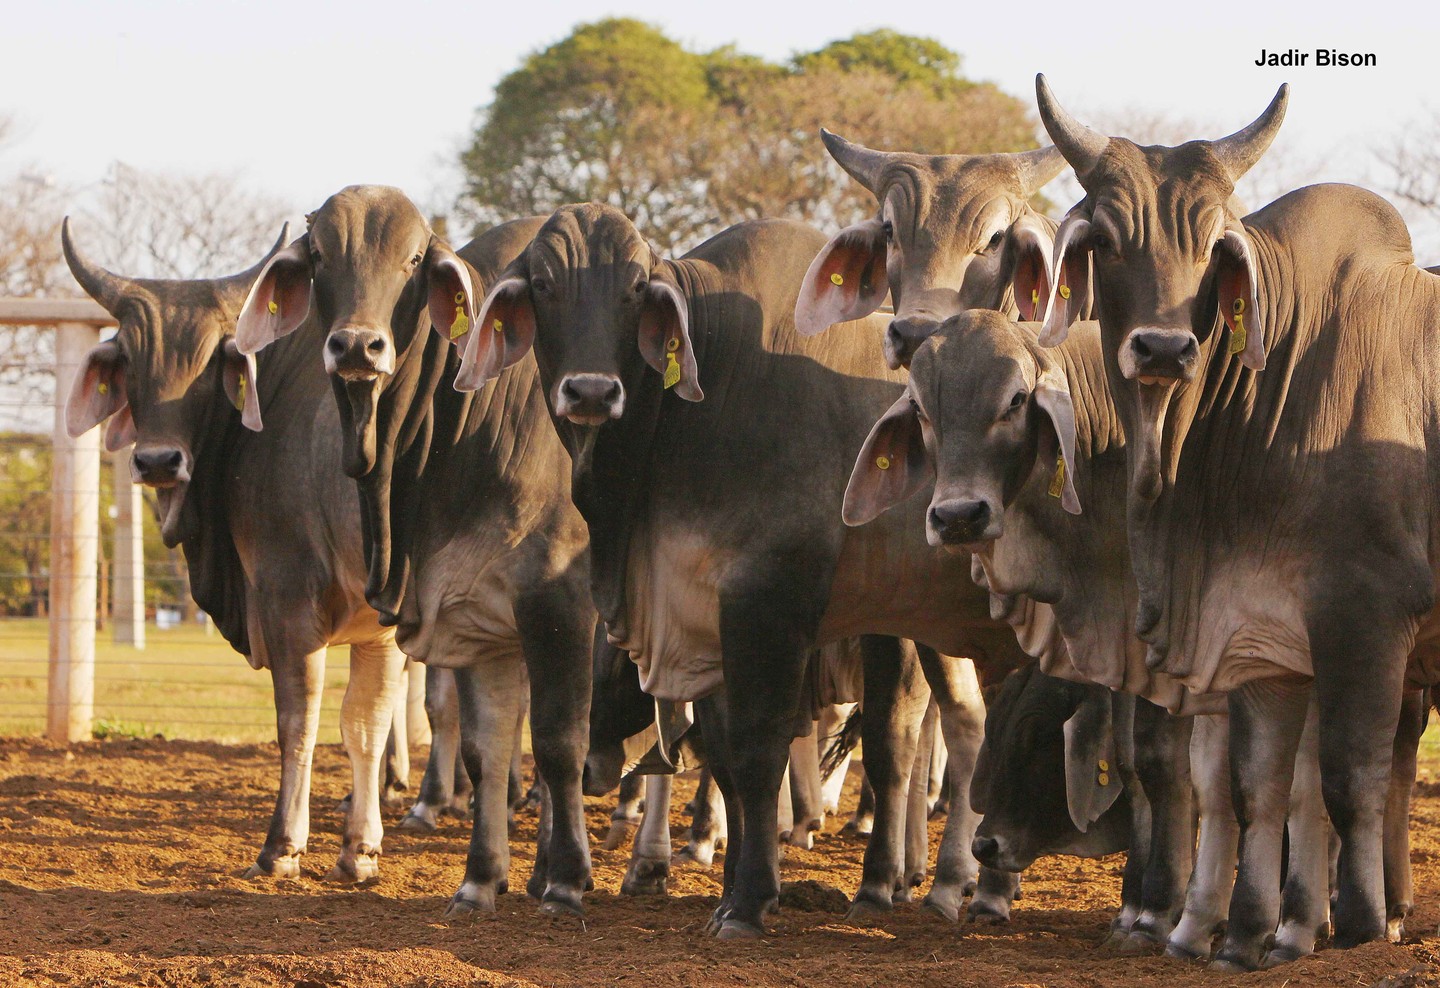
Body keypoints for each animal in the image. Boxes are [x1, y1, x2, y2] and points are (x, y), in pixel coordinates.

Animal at [61, 220, 408, 881]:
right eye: (131, 362)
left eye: (207, 363)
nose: (157, 461)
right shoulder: (381, 629)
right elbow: (366, 724)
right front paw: (359, 850)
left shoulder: (288, 602)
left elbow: (300, 721)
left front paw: (282, 847)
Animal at [233, 191, 593, 921]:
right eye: (320, 255)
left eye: (413, 259)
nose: (356, 345)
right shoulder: (479, 619)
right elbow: (487, 747)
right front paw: (482, 879)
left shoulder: (560, 605)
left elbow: (559, 743)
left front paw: (567, 880)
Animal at [449, 207, 1036, 939]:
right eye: (545, 286)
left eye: (635, 290)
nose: (590, 391)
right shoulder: (705, 617)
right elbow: (727, 759)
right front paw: (731, 891)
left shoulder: (783, 604)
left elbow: (781, 748)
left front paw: (762, 900)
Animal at [1031, 75, 1440, 967]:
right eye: (1107, 237)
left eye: (1213, 248)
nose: (1162, 350)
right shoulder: (1261, 638)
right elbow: (1258, 789)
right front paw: (1253, 931)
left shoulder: (1366, 615)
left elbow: (1348, 777)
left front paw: (1358, 926)